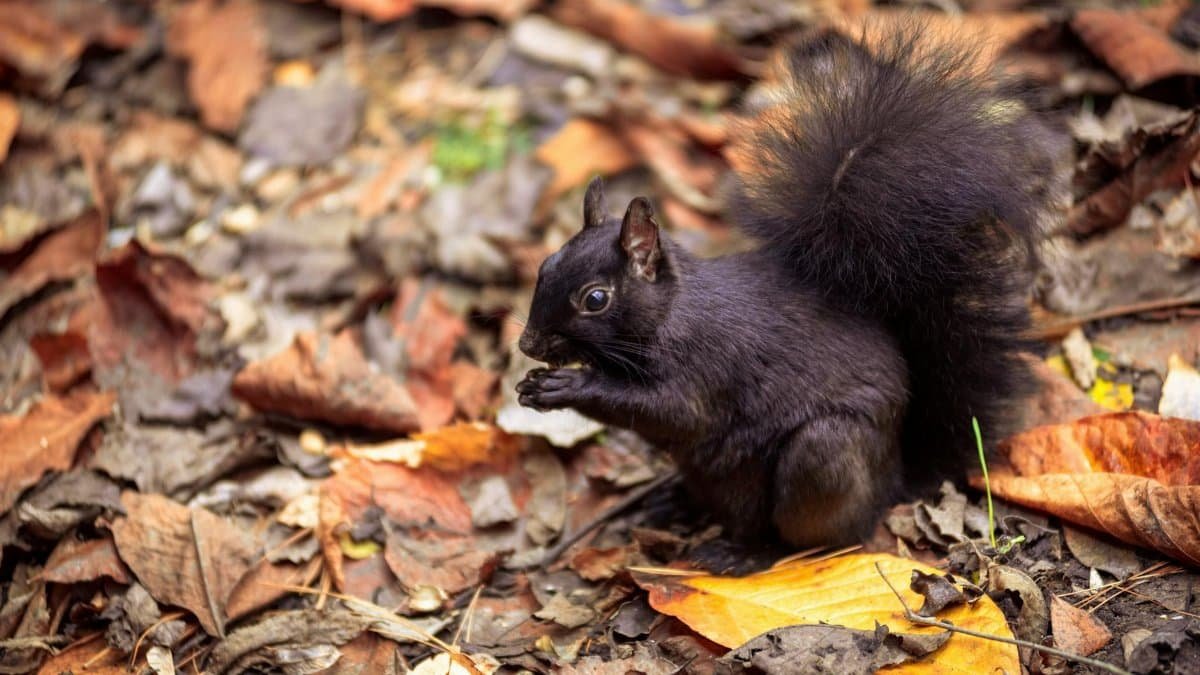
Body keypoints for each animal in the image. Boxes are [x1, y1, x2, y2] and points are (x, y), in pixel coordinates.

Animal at [514, 28, 1053, 547]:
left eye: (595, 299)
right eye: (545, 264)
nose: (527, 345)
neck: (672, 313)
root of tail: (894, 479)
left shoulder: (705, 369)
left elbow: (672, 412)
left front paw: (566, 385)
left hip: (823, 452)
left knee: (818, 535)